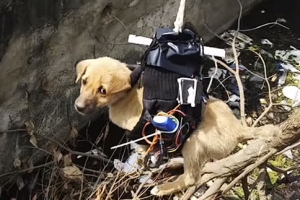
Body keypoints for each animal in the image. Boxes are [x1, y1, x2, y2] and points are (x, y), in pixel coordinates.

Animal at [74, 56, 252, 197]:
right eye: (84, 81)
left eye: (102, 90)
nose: (78, 107)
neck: (129, 93)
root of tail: (240, 130)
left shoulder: (143, 136)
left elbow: (143, 154)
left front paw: (140, 164)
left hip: (194, 142)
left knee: (191, 179)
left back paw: (162, 189)